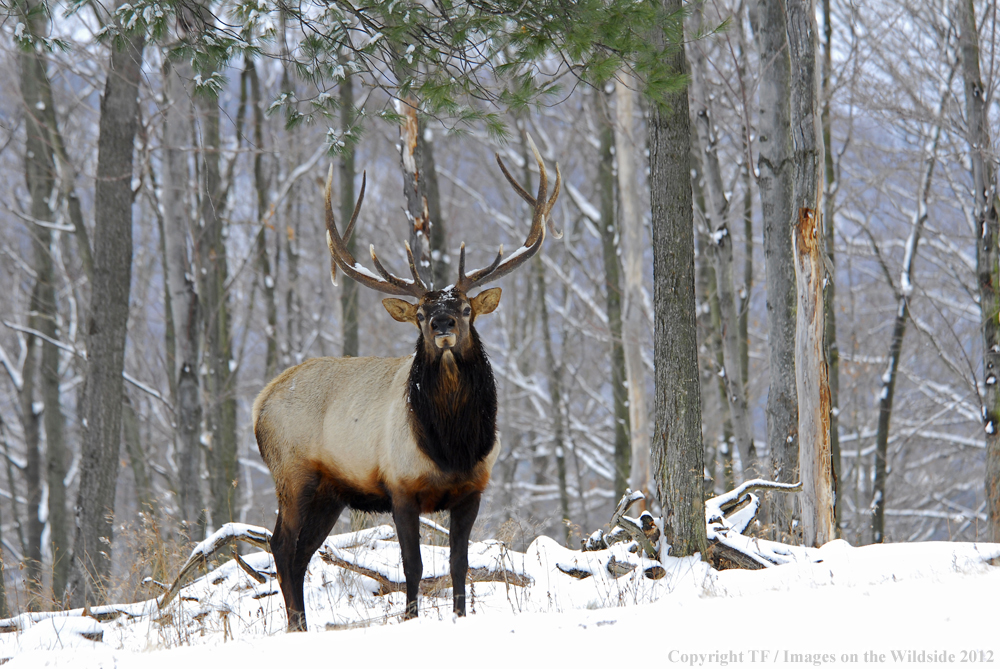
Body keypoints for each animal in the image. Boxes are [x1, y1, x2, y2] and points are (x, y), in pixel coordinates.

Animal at [254, 137, 560, 632]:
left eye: (467, 309)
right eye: (419, 313)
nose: (442, 323)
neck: (452, 446)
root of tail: (258, 404)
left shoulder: (473, 489)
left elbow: (459, 564)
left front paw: (460, 615)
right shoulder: (400, 487)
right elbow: (412, 566)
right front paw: (410, 618)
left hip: (328, 494)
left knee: (299, 553)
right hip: (293, 474)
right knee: (281, 546)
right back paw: (297, 627)